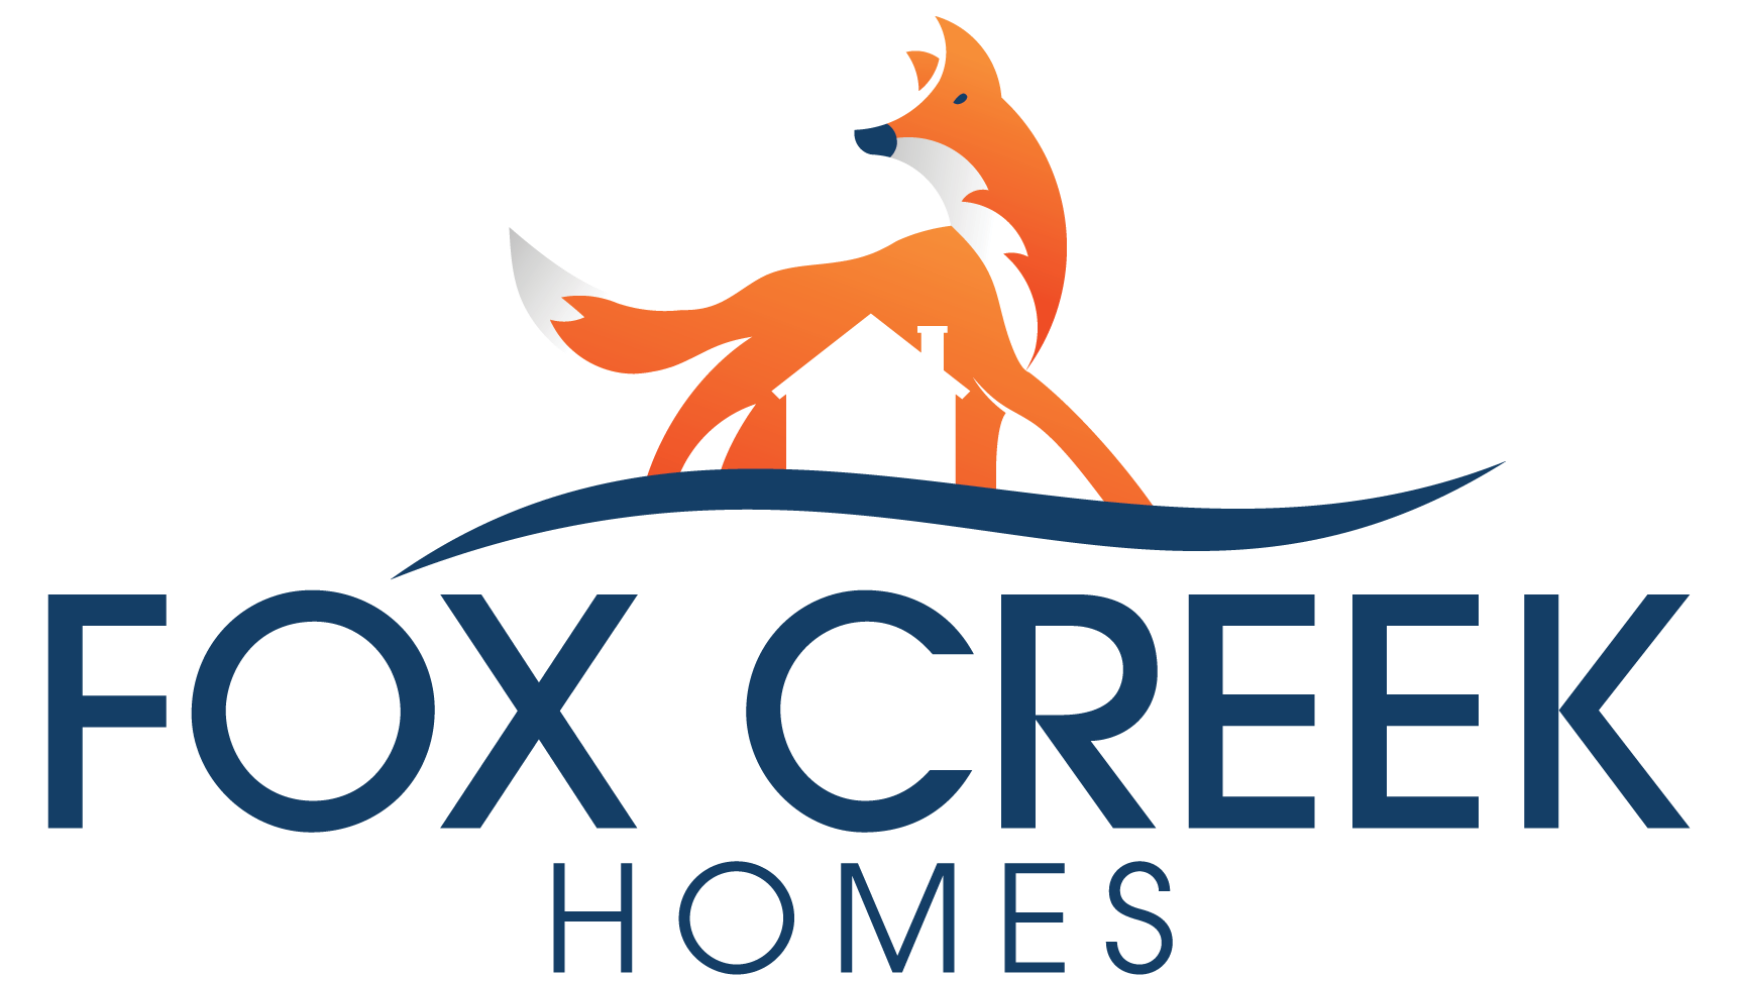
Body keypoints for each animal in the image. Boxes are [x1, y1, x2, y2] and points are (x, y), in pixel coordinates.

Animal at [510, 16, 1151, 505]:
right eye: (911, 104)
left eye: (956, 99)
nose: (869, 134)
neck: (994, 249)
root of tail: (758, 287)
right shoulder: (997, 371)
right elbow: (1076, 431)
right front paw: (1133, 504)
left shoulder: (980, 393)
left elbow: (990, 467)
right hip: (767, 363)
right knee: (694, 410)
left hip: (774, 383)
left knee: (739, 433)